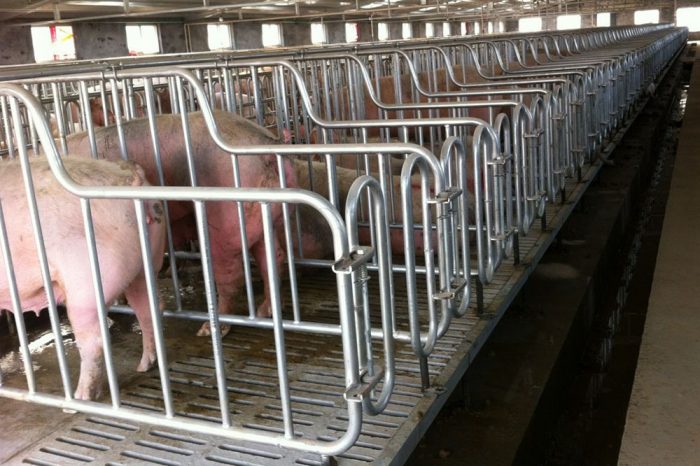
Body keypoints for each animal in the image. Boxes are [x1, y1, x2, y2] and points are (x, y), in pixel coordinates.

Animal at [0, 157, 166, 400]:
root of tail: (131, 179)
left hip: (86, 280)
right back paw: (145, 365)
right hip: (145, 265)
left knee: (94, 341)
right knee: (148, 310)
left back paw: (80, 397)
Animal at [63, 110, 295, 336]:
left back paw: (209, 330)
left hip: (225, 223)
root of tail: (267, 147)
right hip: (267, 218)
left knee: (232, 277)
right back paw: (267, 311)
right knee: (273, 259)